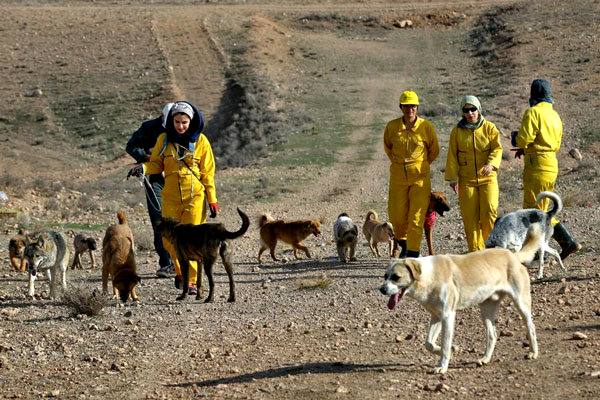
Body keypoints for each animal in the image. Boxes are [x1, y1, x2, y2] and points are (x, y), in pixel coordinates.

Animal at [380, 223, 544, 374]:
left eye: (396, 277)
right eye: (385, 276)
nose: (381, 289)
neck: (427, 276)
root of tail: (513, 256)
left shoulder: (447, 316)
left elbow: (445, 344)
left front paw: (442, 365)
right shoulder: (436, 316)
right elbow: (429, 343)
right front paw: (446, 350)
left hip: (521, 304)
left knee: (531, 327)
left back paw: (533, 352)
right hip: (486, 311)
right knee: (492, 335)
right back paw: (485, 359)